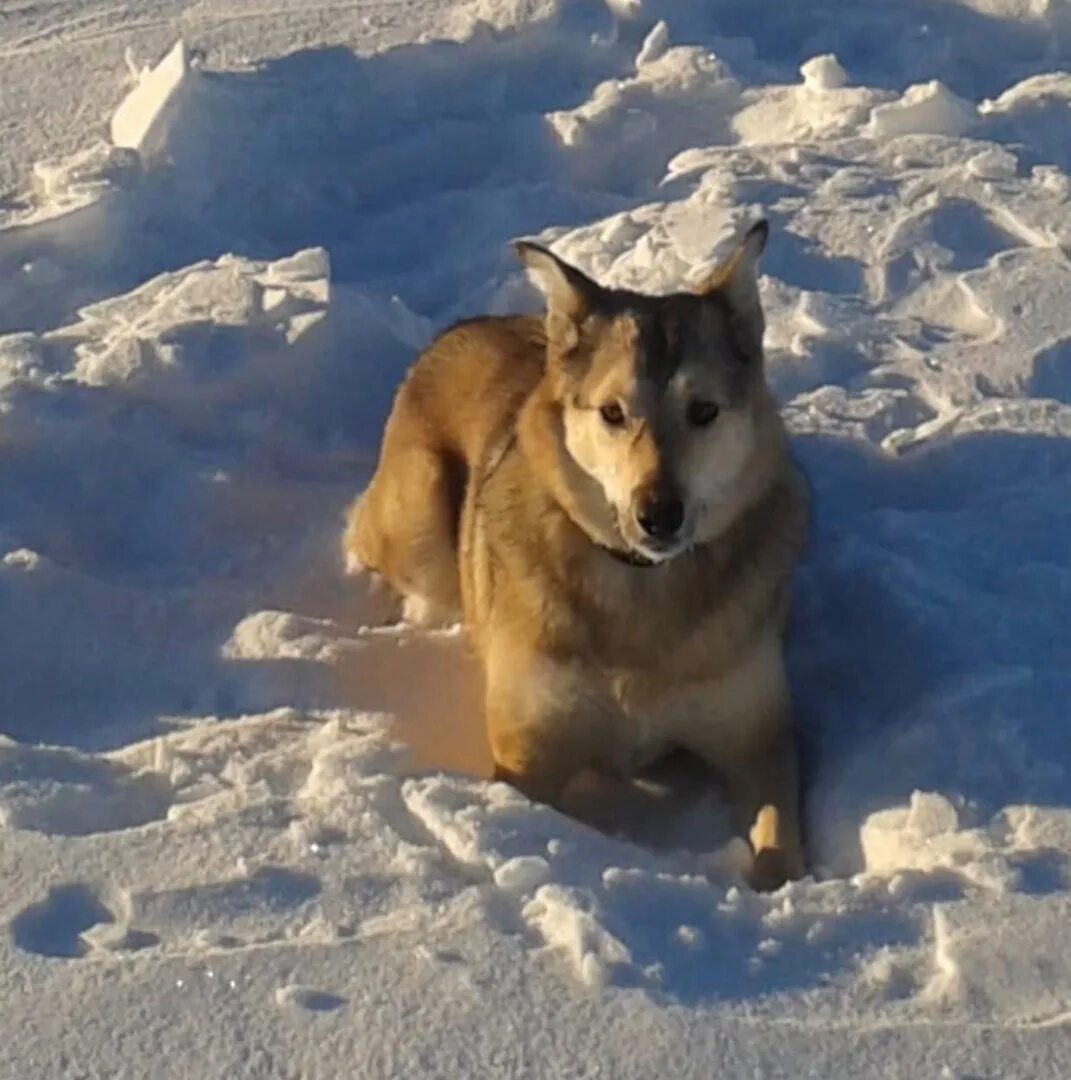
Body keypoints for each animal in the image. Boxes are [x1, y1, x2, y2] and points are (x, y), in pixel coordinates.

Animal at [347, 223, 807, 889]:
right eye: (613, 412)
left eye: (704, 411)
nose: (658, 514)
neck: (642, 590)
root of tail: (462, 328)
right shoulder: (530, 751)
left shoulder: (760, 737)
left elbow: (780, 845)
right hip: (421, 507)